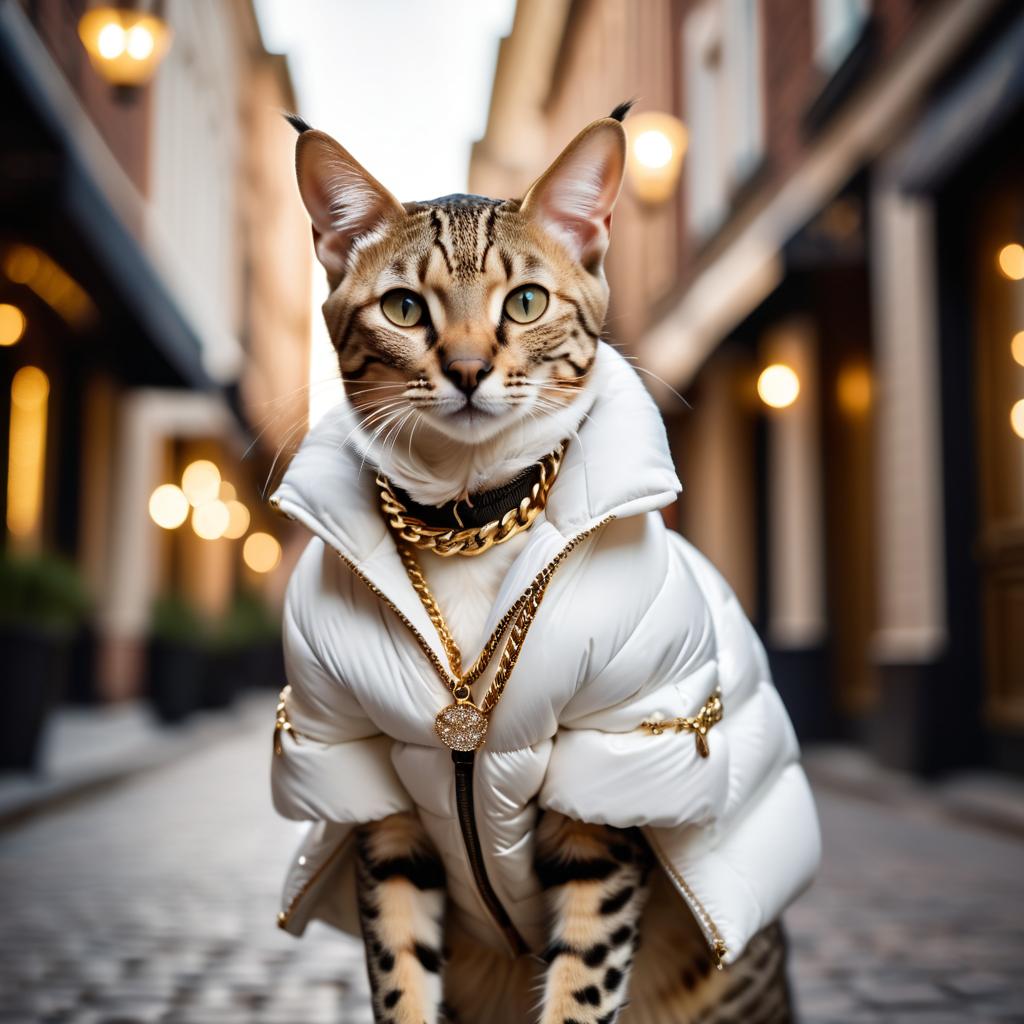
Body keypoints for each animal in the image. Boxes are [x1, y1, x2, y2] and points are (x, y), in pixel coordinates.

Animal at [274, 105, 806, 1024]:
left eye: (525, 302)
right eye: (404, 308)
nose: (467, 369)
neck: (468, 522)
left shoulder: (611, 782)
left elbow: (583, 977)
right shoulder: (369, 784)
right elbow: (400, 970)